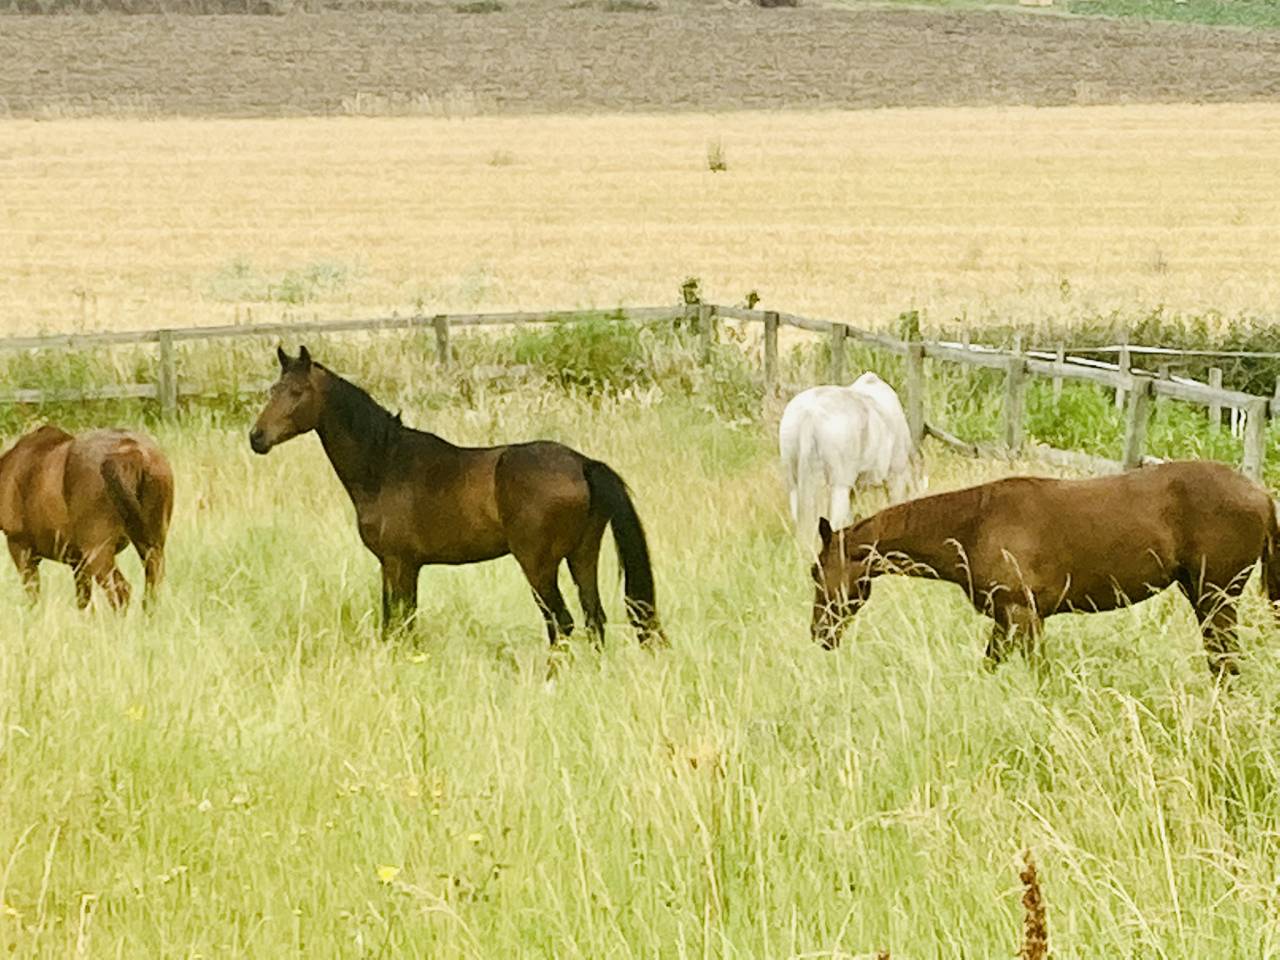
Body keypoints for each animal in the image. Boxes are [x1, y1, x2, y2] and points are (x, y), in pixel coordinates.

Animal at [0, 425, 174, 608]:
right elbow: (84, 602)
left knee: (121, 591)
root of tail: (133, 455)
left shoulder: (19, 545)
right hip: (153, 541)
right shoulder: (77, 561)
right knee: (152, 589)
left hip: (98, 547)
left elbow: (33, 597)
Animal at [248, 346, 663, 645]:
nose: (257, 437)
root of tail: (582, 463)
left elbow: (400, 626)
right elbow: (397, 624)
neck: (385, 464)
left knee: (562, 624)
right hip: (582, 557)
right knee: (595, 620)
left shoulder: (399, 563)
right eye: (272, 390)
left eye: (297, 392)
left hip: (539, 566)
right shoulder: (398, 566)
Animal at [810, 460, 1280, 677]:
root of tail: (1261, 494)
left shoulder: (1025, 617)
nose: (819, 636)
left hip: (1215, 598)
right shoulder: (1004, 621)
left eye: (816, 574)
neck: (975, 524)